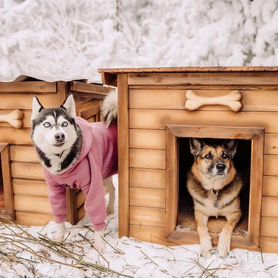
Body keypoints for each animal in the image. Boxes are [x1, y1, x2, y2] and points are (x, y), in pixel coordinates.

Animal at [31, 92, 118, 252]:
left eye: (64, 123)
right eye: (47, 124)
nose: (60, 135)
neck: (61, 159)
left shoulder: (93, 185)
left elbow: (96, 211)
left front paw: (100, 244)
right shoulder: (55, 189)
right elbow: (59, 214)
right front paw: (59, 237)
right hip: (103, 172)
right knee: (112, 188)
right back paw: (109, 209)